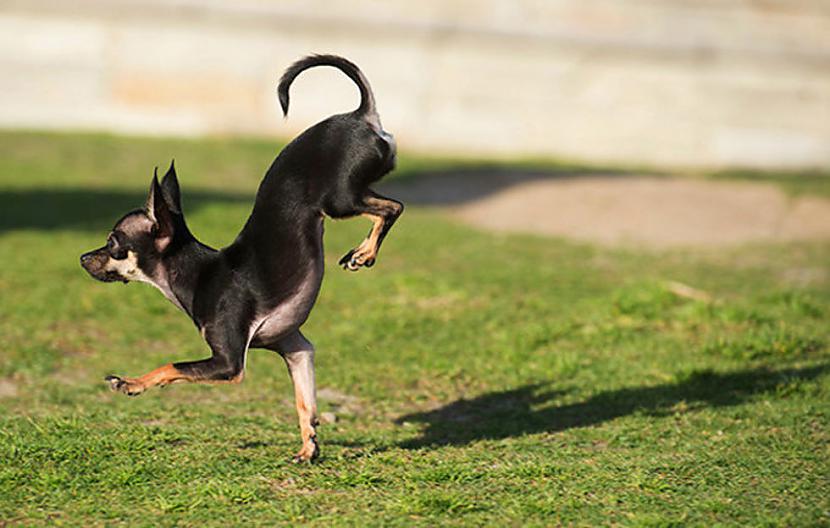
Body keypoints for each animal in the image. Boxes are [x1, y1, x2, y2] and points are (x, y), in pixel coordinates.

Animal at [79, 54, 404, 462]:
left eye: (113, 243)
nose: (83, 258)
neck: (197, 273)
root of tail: (361, 115)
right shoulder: (296, 347)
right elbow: (305, 403)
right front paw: (308, 447)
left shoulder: (229, 364)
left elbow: (171, 364)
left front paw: (131, 383)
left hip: (340, 200)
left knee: (393, 207)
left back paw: (363, 253)